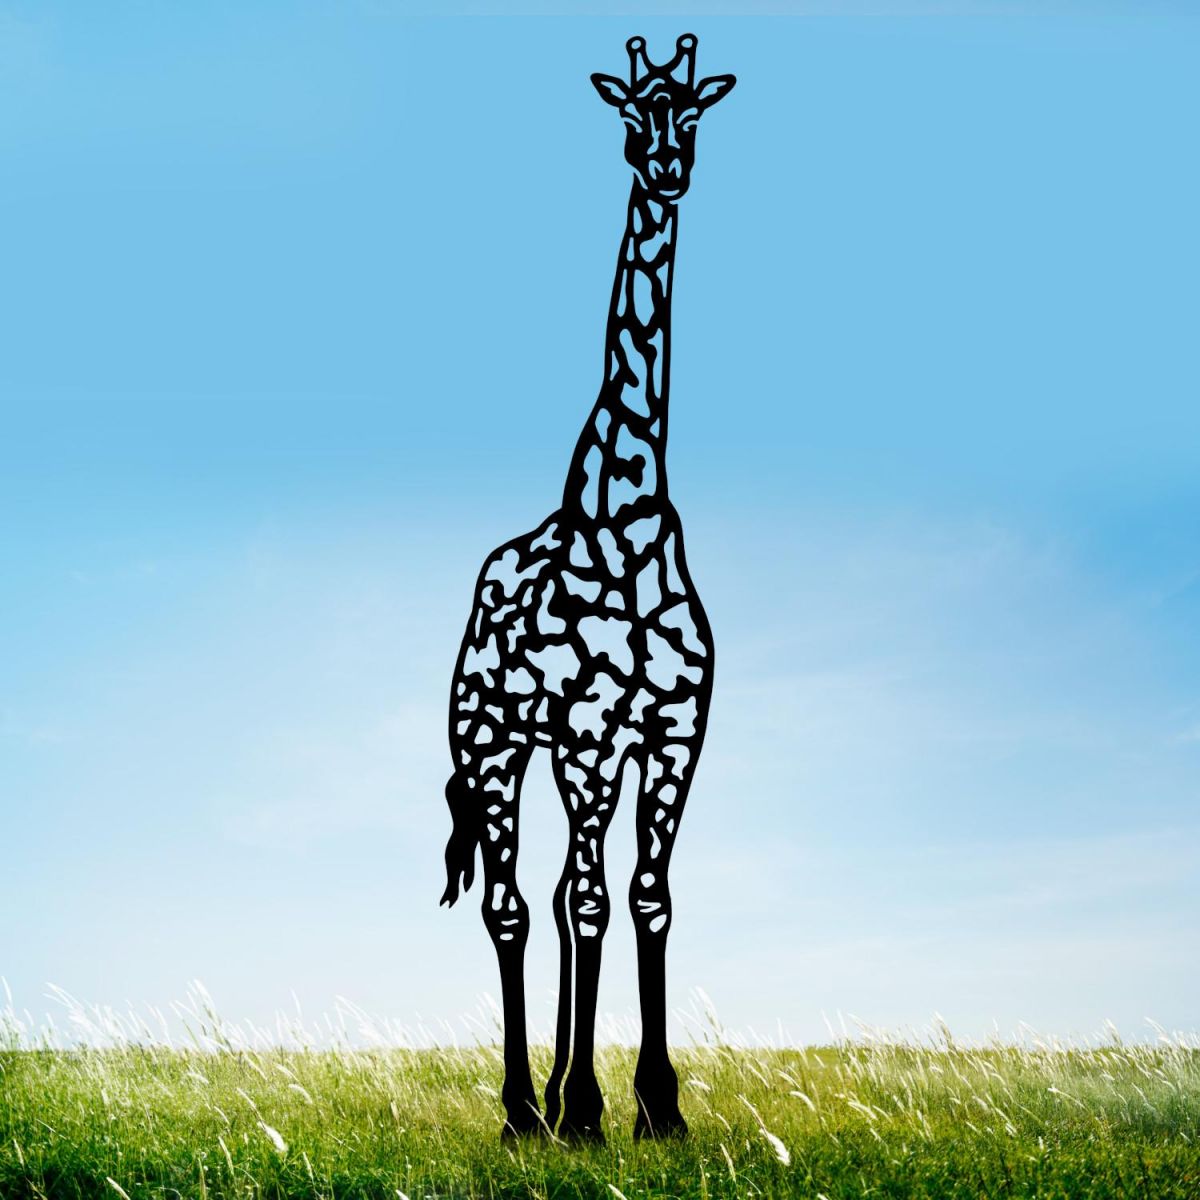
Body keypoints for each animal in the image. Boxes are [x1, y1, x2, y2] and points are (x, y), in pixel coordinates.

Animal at [440, 33, 735, 1142]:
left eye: (692, 113)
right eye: (628, 113)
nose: (666, 168)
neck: (629, 517)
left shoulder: (673, 731)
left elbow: (646, 897)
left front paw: (656, 1108)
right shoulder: (594, 732)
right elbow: (591, 903)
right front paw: (594, 1107)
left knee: (568, 890)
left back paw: (564, 1100)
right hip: (491, 740)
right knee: (516, 904)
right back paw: (528, 1110)